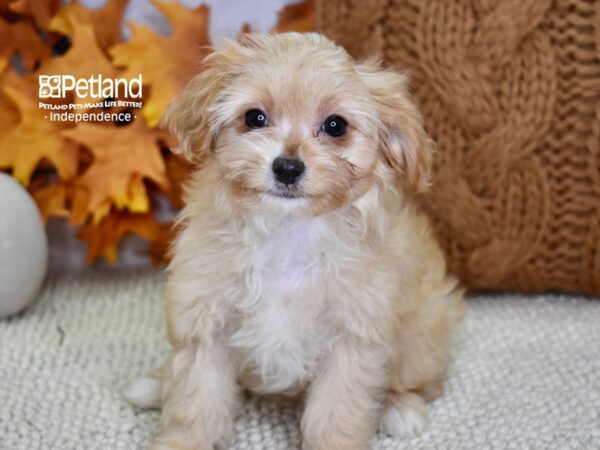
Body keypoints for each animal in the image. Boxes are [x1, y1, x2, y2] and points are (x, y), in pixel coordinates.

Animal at [125, 32, 464, 450]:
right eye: (254, 117)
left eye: (336, 126)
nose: (287, 167)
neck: (285, 231)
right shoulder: (203, 318)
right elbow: (194, 403)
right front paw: (182, 441)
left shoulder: (353, 336)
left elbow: (337, 414)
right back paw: (154, 385)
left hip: (423, 332)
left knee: (415, 378)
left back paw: (400, 408)